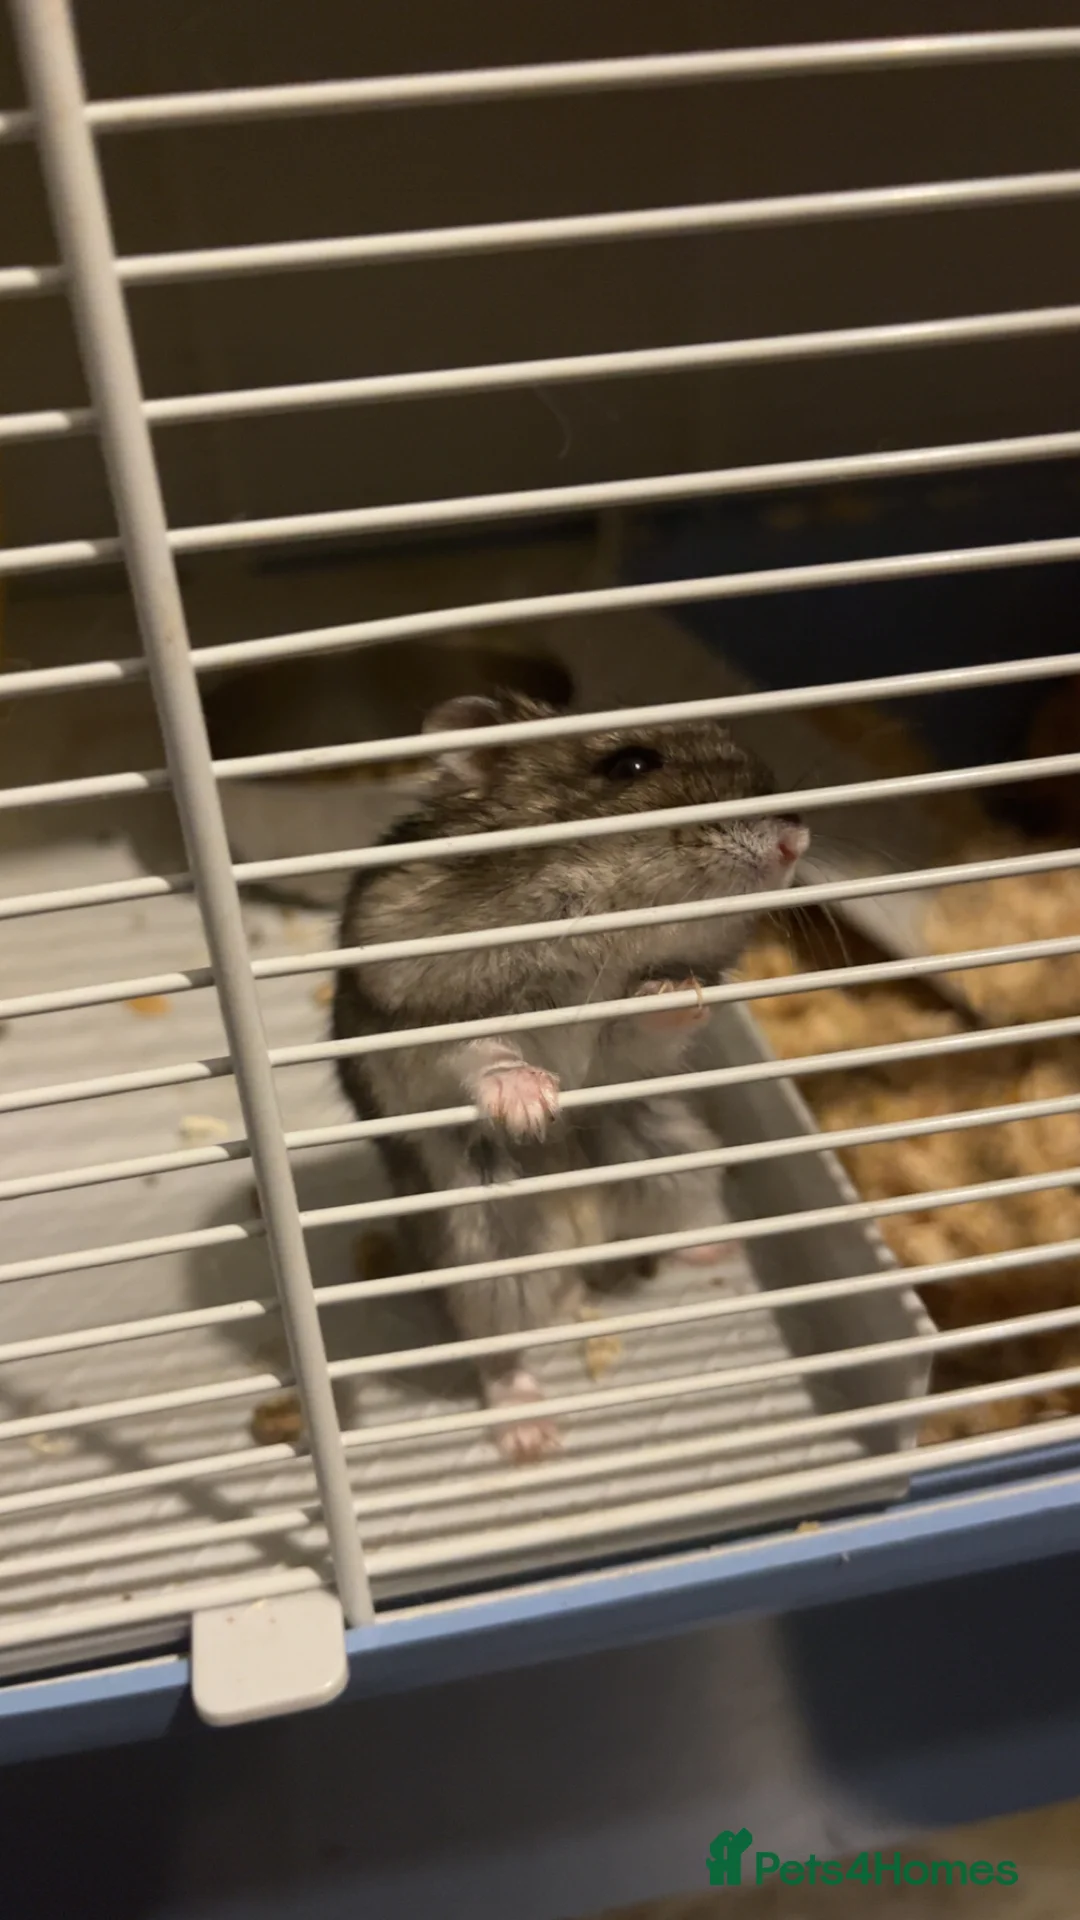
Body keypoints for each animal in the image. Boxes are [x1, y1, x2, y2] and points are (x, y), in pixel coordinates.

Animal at [332, 691, 809, 1462]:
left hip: (671, 1155)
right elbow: (478, 1053)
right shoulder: (423, 1010)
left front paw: (676, 993)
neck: (600, 928)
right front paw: (530, 1105)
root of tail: (586, 1250)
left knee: (672, 1219)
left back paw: (720, 1243)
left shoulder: (621, 1043)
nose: (797, 836)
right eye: (631, 765)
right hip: (490, 1249)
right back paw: (530, 1433)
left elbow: (638, 1024)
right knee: (496, 1348)